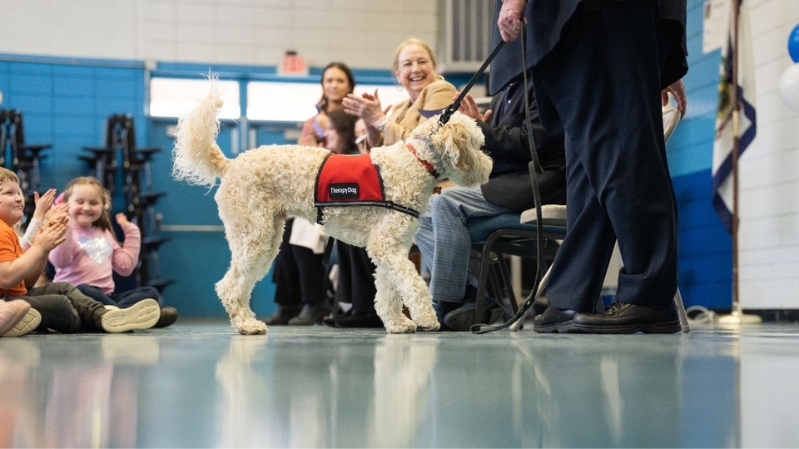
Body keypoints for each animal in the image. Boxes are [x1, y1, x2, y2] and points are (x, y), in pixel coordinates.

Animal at [172, 87, 490, 332]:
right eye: (477, 144)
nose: (489, 166)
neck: (414, 163)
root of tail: (232, 164)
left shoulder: (391, 249)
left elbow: (390, 291)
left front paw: (398, 323)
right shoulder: (388, 246)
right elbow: (414, 284)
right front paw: (426, 317)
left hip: (267, 238)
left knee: (237, 283)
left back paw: (247, 320)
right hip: (254, 237)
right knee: (229, 286)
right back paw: (245, 325)